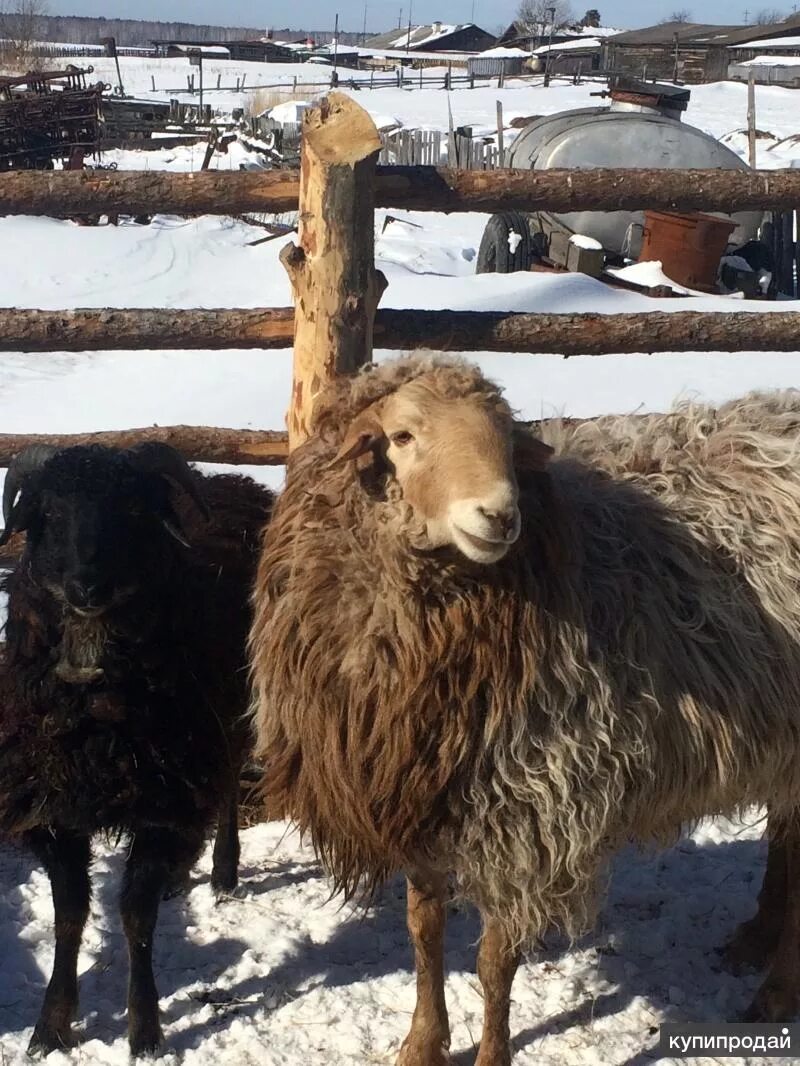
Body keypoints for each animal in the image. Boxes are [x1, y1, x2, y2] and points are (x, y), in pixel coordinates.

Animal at [0, 443, 273, 1057]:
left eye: (130, 509)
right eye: (47, 513)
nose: (86, 587)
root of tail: (233, 481)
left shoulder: (163, 800)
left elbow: (135, 917)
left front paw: (145, 1030)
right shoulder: (54, 810)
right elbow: (71, 915)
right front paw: (50, 1027)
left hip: (227, 713)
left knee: (226, 786)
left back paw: (222, 871)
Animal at [253, 360, 800, 1066]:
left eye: (507, 440)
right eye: (402, 436)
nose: (499, 514)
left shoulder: (530, 808)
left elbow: (494, 960)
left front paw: (490, 1054)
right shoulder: (421, 785)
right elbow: (423, 930)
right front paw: (422, 1043)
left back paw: (776, 991)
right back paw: (755, 938)